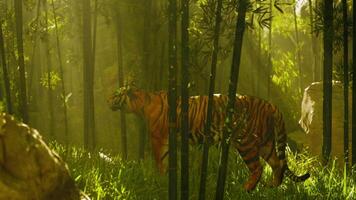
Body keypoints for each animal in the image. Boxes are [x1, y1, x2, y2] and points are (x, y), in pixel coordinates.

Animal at [107, 85, 310, 191]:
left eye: (115, 95)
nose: (106, 101)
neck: (141, 103)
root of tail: (269, 104)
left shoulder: (158, 138)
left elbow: (160, 160)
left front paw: (160, 178)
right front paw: (167, 179)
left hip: (245, 141)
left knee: (257, 167)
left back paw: (246, 188)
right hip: (265, 143)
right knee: (277, 164)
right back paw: (272, 187)